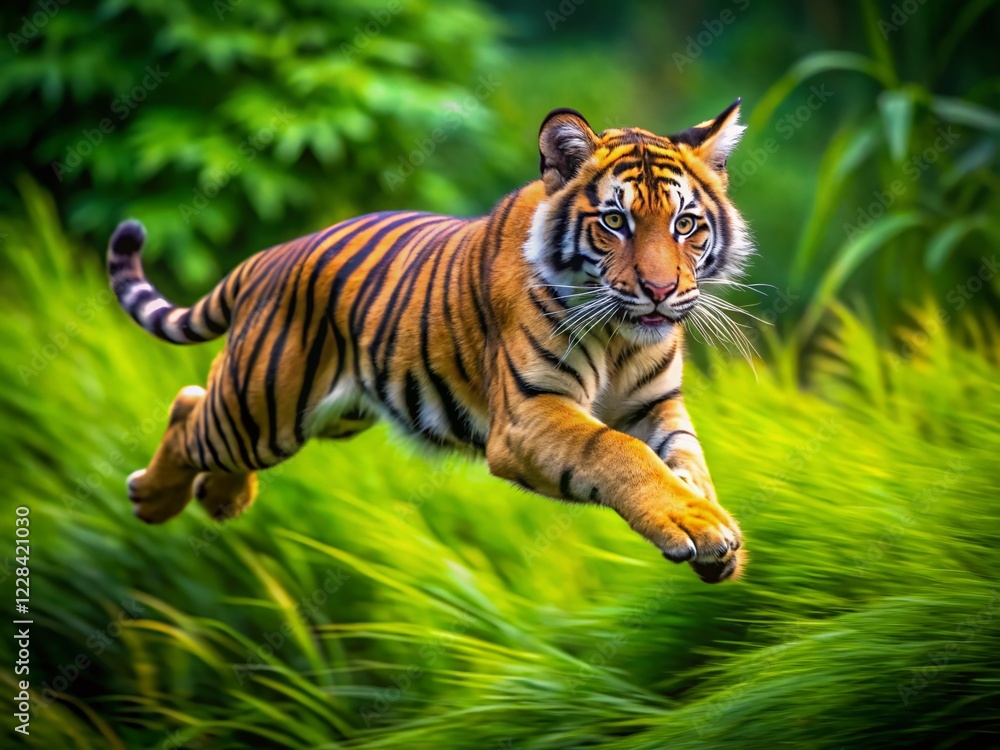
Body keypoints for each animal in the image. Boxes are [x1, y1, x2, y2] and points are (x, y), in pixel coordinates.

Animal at [108, 99, 753, 583]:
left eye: (685, 224)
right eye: (615, 221)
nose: (660, 291)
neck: (623, 339)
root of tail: (270, 256)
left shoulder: (655, 406)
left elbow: (687, 460)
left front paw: (715, 529)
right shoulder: (528, 416)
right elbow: (618, 453)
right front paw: (697, 525)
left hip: (332, 414)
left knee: (197, 405)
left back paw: (222, 497)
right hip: (263, 408)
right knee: (191, 415)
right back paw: (153, 498)